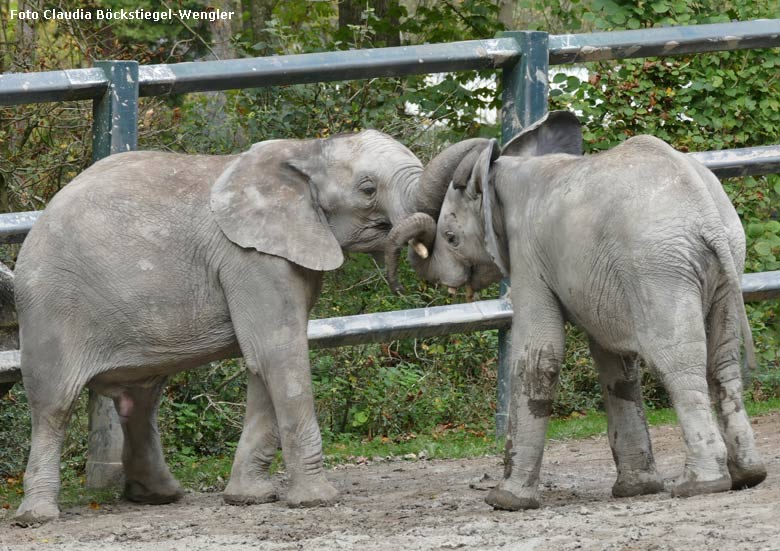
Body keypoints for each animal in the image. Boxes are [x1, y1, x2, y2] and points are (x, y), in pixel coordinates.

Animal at [12, 130, 444, 528]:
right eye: (368, 188)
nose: (400, 277)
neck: (306, 150)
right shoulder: (250, 258)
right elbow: (278, 355)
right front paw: (317, 501)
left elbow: (263, 363)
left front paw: (248, 498)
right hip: (51, 309)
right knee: (53, 407)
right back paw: (37, 516)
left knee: (142, 398)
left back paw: (159, 496)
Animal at [386, 111, 764, 508]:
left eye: (450, 237)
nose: (400, 284)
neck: (503, 172)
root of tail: (707, 216)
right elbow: (614, 362)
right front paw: (636, 490)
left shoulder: (528, 255)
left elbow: (540, 353)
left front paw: (505, 501)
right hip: (724, 262)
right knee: (722, 360)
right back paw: (748, 476)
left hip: (657, 266)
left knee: (677, 359)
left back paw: (700, 484)